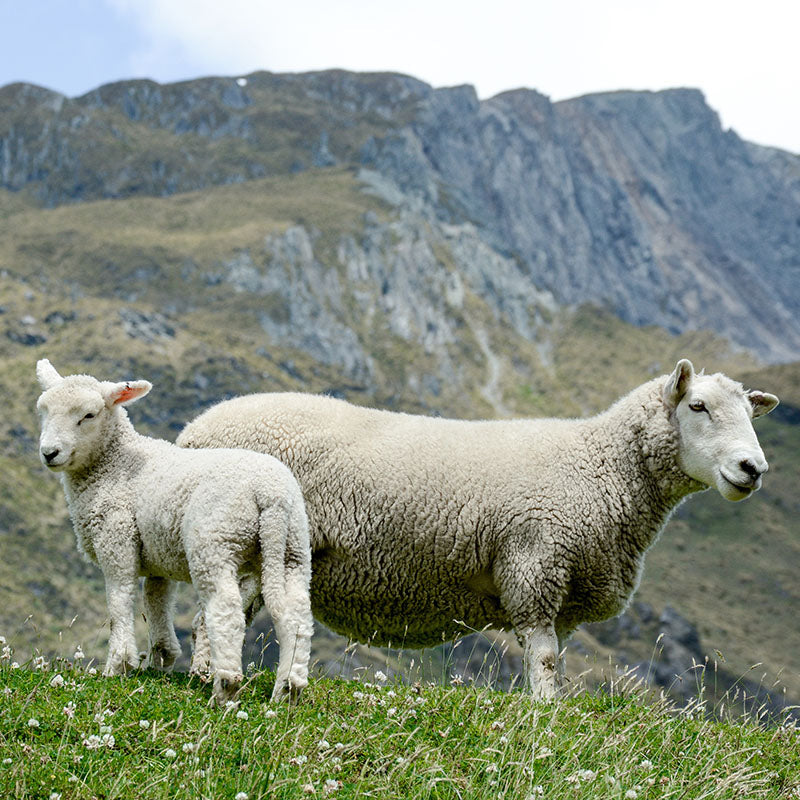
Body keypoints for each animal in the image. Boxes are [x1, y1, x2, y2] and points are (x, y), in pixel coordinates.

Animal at [35, 359, 313, 705]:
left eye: (88, 415)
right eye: (44, 411)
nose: (49, 453)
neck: (114, 463)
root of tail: (270, 494)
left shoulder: (116, 536)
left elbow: (119, 599)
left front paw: (118, 664)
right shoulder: (158, 554)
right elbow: (157, 600)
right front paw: (161, 657)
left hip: (215, 540)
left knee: (226, 610)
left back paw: (225, 687)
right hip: (293, 548)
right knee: (296, 614)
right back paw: (288, 689)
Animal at [177, 359, 778, 699]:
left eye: (752, 415)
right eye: (697, 406)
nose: (753, 468)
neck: (601, 466)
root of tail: (193, 431)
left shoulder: (564, 592)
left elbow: (555, 659)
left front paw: (549, 707)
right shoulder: (534, 564)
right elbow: (544, 656)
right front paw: (544, 716)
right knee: (221, 612)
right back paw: (210, 676)